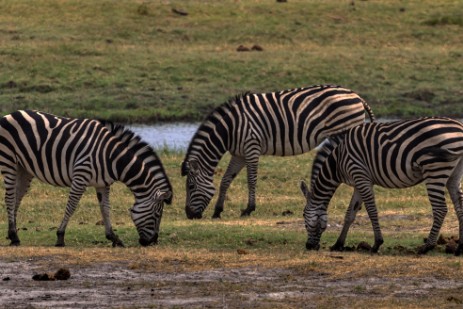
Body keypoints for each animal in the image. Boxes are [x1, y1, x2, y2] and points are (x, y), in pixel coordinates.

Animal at [0, 109, 173, 247]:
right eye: (157, 215)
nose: (152, 242)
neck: (111, 156)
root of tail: (11, 114)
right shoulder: (81, 176)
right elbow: (72, 206)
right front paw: (60, 237)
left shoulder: (102, 183)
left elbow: (105, 208)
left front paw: (113, 238)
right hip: (9, 161)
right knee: (9, 198)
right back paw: (14, 236)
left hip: (23, 168)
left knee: (17, 198)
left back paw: (13, 234)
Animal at [179, 85, 376, 218]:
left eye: (191, 187)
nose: (189, 215)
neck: (230, 129)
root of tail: (356, 96)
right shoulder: (239, 154)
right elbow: (226, 179)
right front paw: (218, 210)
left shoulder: (251, 147)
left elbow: (251, 179)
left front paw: (249, 209)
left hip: (345, 131)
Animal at [300, 116, 463, 254]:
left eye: (303, 216)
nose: (309, 246)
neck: (338, 162)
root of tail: (459, 127)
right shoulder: (359, 181)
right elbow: (350, 214)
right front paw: (338, 244)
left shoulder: (360, 175)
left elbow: (372, 211)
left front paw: (376, 244)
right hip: (454, 175)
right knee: (459, 207)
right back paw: (459, 248)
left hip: (434, 169)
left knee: (440, 209)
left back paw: (426, 247)